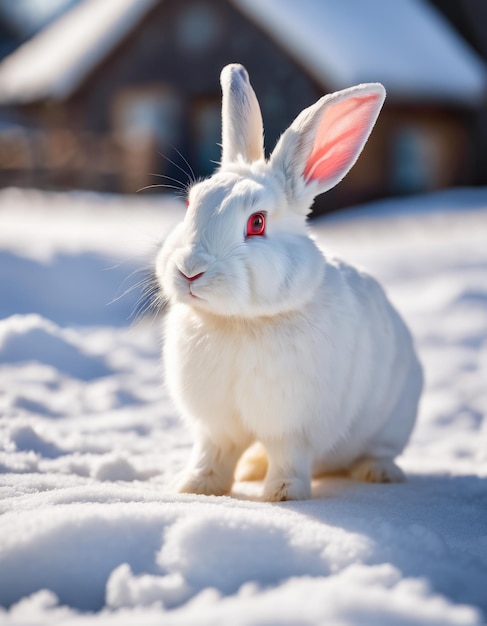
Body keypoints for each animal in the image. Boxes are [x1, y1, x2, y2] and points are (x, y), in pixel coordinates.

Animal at [156, 62, 424, 502]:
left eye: (257, 223)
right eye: (192, 203)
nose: (190, 270)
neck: (240, 321)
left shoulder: (293, 425)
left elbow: (288, 455)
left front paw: (282, 495)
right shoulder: (216, 426)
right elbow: (213, 453)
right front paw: (196, 488)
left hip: (394, 418)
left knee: (377, 451)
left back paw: (379, 474)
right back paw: (251, 469)